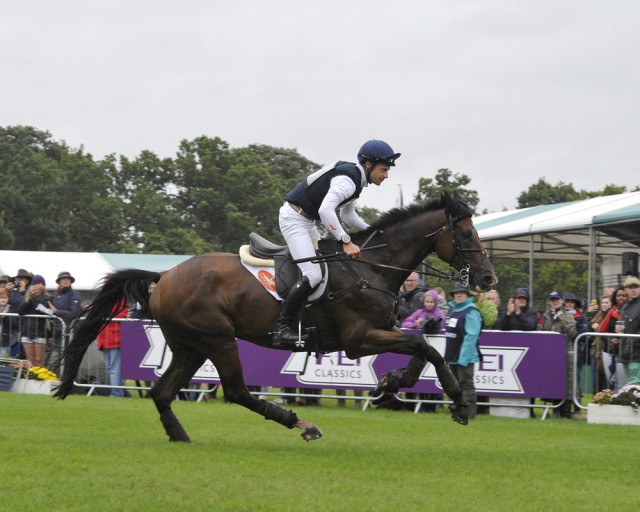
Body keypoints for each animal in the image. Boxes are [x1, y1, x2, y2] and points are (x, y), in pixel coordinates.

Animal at [53, 192, 496, 444]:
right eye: (467, 234)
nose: (488, 278)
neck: (371, 266)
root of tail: (164, 276)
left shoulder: (382, 330)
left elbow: (424, 350)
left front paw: (394, 384)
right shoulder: (359, 338)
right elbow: (426, 347)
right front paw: (457, 402)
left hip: (189, 345)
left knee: (163, 393)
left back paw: (179, 436)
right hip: (217, 339)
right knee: (236, 391)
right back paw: (302, 425)